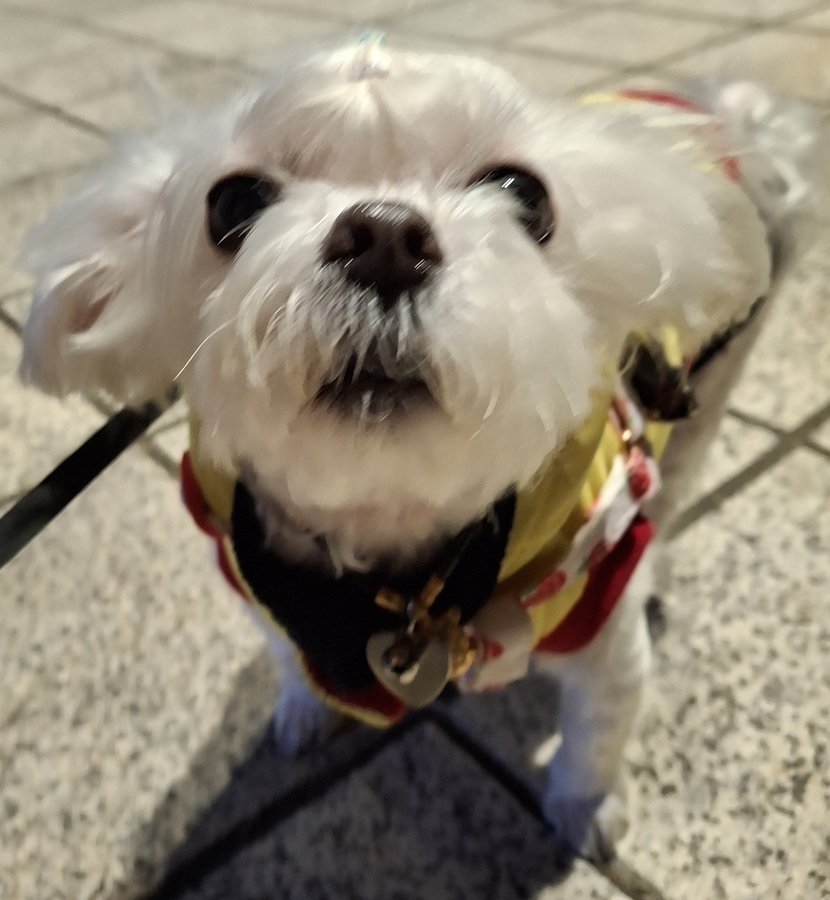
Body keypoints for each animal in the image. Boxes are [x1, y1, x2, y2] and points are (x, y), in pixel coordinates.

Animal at [17, 39, 823, 862]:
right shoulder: (254, 575)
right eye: (234, 204)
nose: (383, 237)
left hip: (711, 382)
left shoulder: (601, 626)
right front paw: (303, 708)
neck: (401, 552)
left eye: (523, 194)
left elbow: (597, 731)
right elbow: (284, 654)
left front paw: (585, 807)